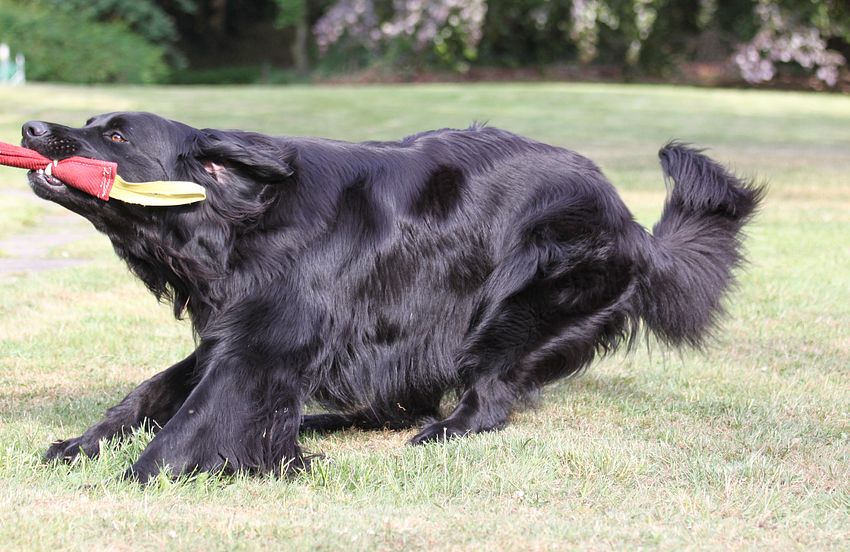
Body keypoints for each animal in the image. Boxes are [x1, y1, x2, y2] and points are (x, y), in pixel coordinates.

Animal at [21, 112, 762, 481]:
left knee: (488, 398)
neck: (244, 214)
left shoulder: (264, 340)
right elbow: (151, 391)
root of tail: (633, 227)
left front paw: (142, 475)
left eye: (116, 136)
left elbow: (203, 412)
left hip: (519, 312)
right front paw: (82, 446)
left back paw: (444, 431)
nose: (28, 128)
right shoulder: (234, 328)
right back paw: (324, 423)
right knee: (395, 403)